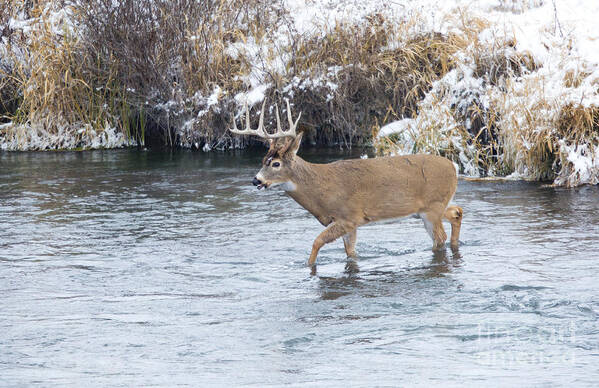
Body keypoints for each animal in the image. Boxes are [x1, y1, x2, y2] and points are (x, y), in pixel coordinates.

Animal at [230, 98, 464, 268]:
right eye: (263, 160)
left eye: (276, 164)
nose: (256, 180)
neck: (321, 190)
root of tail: (453, 167)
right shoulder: (347, 223)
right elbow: (350, 253)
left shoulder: (350, 216)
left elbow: (317, 241)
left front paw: (308, 267)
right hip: (430, 208)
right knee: (456, 212)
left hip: (432, 208)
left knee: (439, 239)